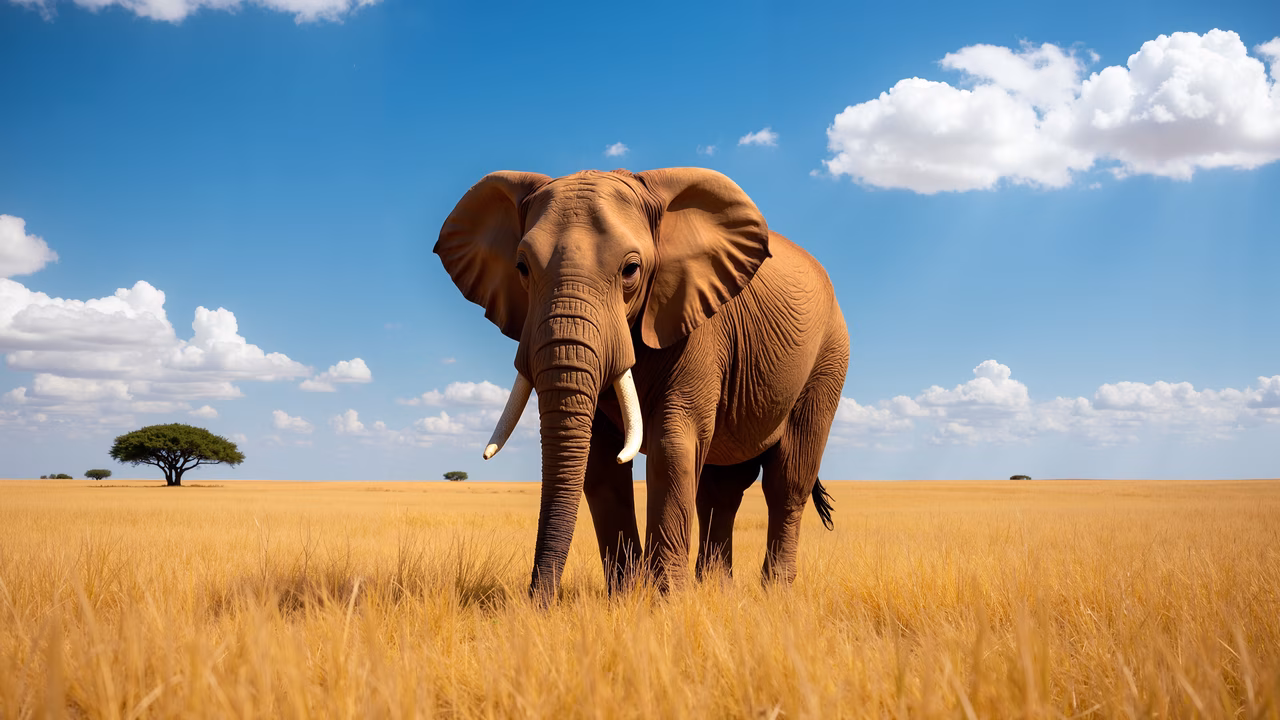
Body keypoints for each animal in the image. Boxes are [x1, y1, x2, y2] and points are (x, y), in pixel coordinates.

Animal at [435, 167, 849, 602]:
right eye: (522, 268)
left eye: (631, 270)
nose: (536, 603)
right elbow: (600, 461)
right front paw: (626, 599)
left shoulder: (698, 321)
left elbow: (673, 445)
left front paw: (667, 603)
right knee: (722, 488)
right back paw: (717, 591)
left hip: (828, 359)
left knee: (788, 479)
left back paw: (775, 595)